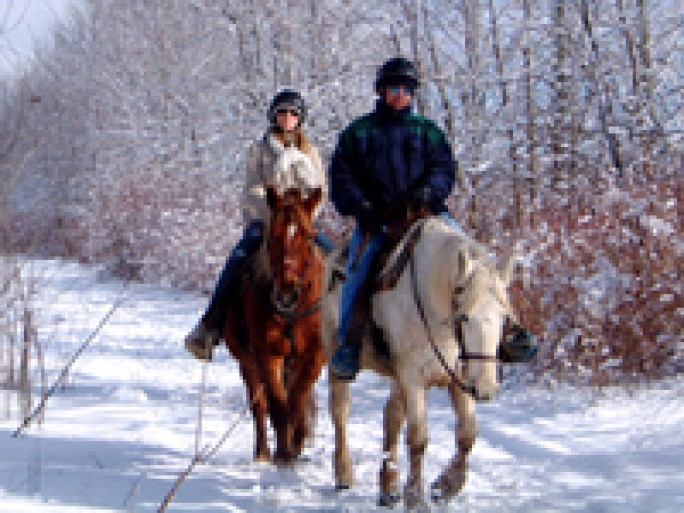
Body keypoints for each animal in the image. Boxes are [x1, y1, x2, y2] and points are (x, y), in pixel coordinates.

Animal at [220, 186, 324, 462]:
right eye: (272, 237)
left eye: (309, 236)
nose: (287, 290)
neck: (292, 313)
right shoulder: (268, 356)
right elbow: (278, 407)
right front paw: (283, 454)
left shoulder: (313, 357)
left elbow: (297, 403)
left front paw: (295, 447)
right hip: (248, 364)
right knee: (260, 407)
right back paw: (263, 453)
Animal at [322, 216, 520, 508]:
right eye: (464, 316)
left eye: (503, 317)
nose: (485, 388)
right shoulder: (413, 377)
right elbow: (418, 438)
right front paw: (415, 496)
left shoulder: (459, 376)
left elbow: (468, 433)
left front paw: (446, 485)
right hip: (336, 359)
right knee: (340, 412)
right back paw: (344, 474)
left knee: (391, 417)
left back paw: (388, 487)